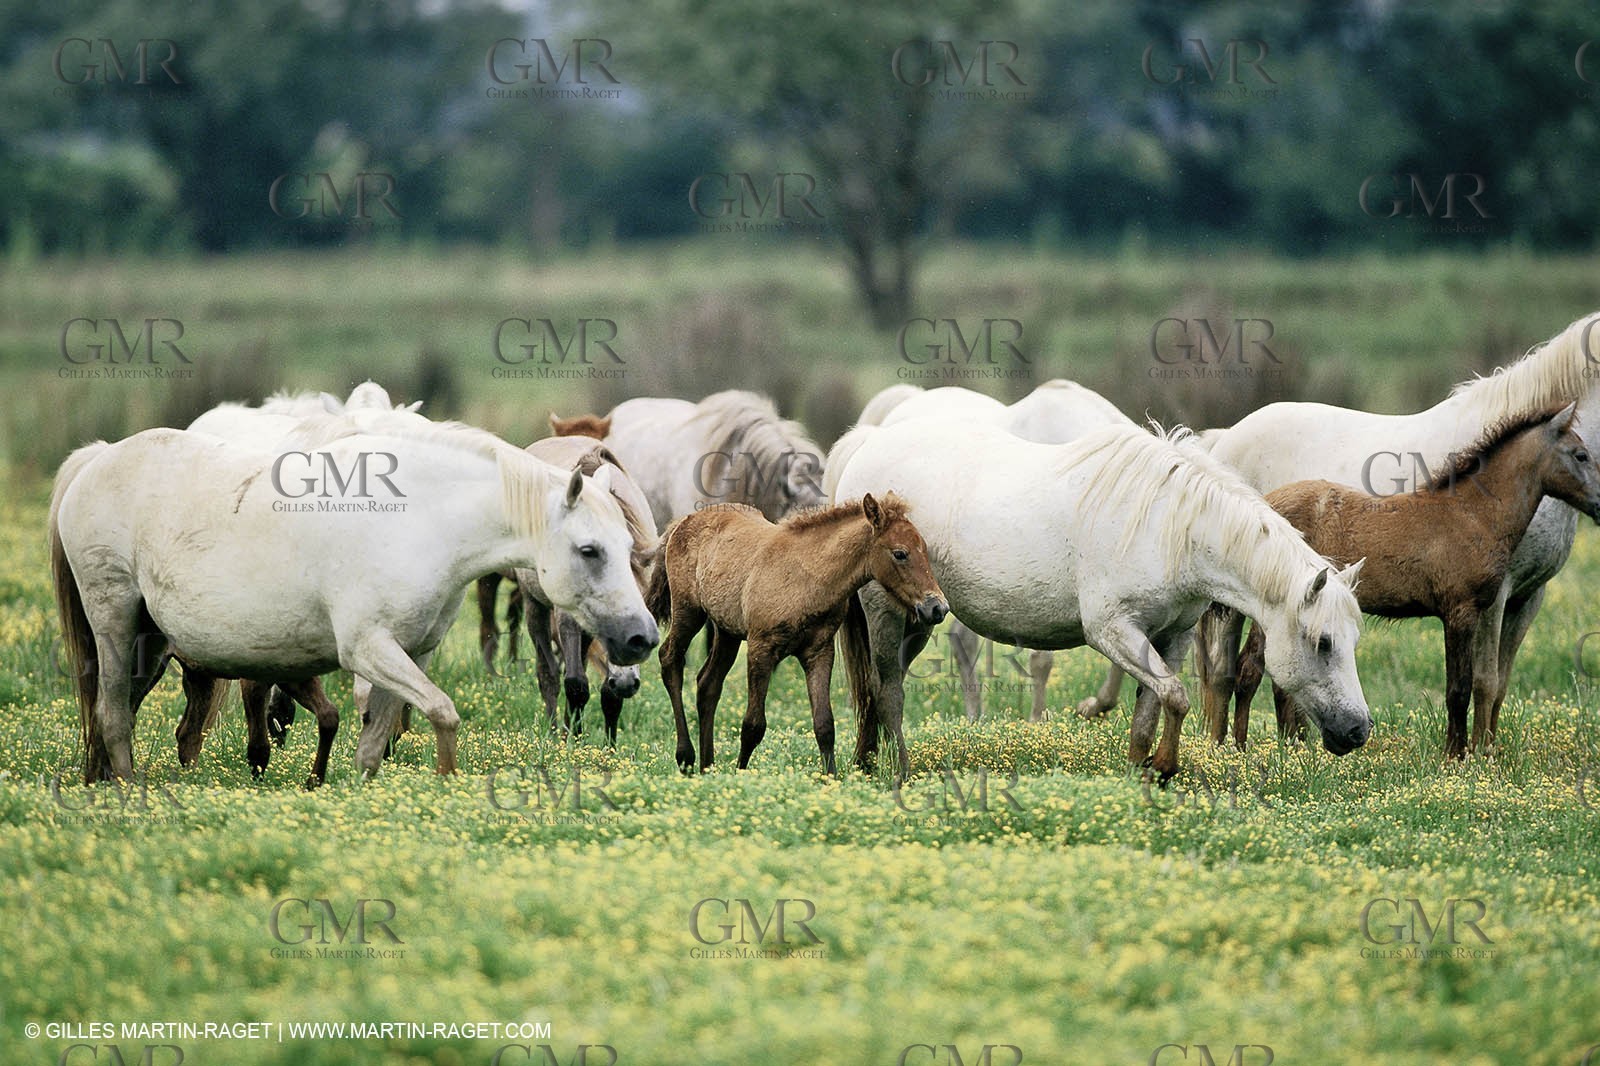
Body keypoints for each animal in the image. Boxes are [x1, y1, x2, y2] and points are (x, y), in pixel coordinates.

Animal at [476, 435, 656, 740]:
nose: (626, 683)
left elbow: (607, 694)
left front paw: (607, 745)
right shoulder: (567, 617)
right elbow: (574, 683)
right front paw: (571, 739)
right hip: (534, 605)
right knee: (547, 672)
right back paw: (553, 732)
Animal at [646, 494, 947, 775]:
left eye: (924, 549)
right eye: (900, 553)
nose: (937, 607)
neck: (808, 578)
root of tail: (682, 522)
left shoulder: (819, 651)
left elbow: (825, 724)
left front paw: (831, 780)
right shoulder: (761, 647)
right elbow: (753, 725)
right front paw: (740, 775)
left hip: (726, 630)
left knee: (708, 683)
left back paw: (707, 767)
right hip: (688, 611)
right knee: (669, 659)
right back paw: (686, 757)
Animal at [826, 420, 1370, 781]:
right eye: (1323, 642)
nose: (1358, 730)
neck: (1174, 528)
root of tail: (865, 448)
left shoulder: (1169, 638)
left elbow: (1153, 707)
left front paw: (1142, 771)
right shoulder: (1113, 631)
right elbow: (1176, 696)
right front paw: (1164, 768)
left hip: (920, 619)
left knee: (875, 689)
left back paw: (864, 762)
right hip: (886, 614)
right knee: (887, 689)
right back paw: (895, 770)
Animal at [1200, 311, 1600, 754]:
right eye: (1581, 455)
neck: (1472, 511)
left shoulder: (1524, 597)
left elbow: (1493, 686)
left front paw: (1480, 753)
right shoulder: (1468, 609)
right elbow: (1467, 687)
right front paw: (1460, 758)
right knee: (1239, 671)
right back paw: (1237, 751)